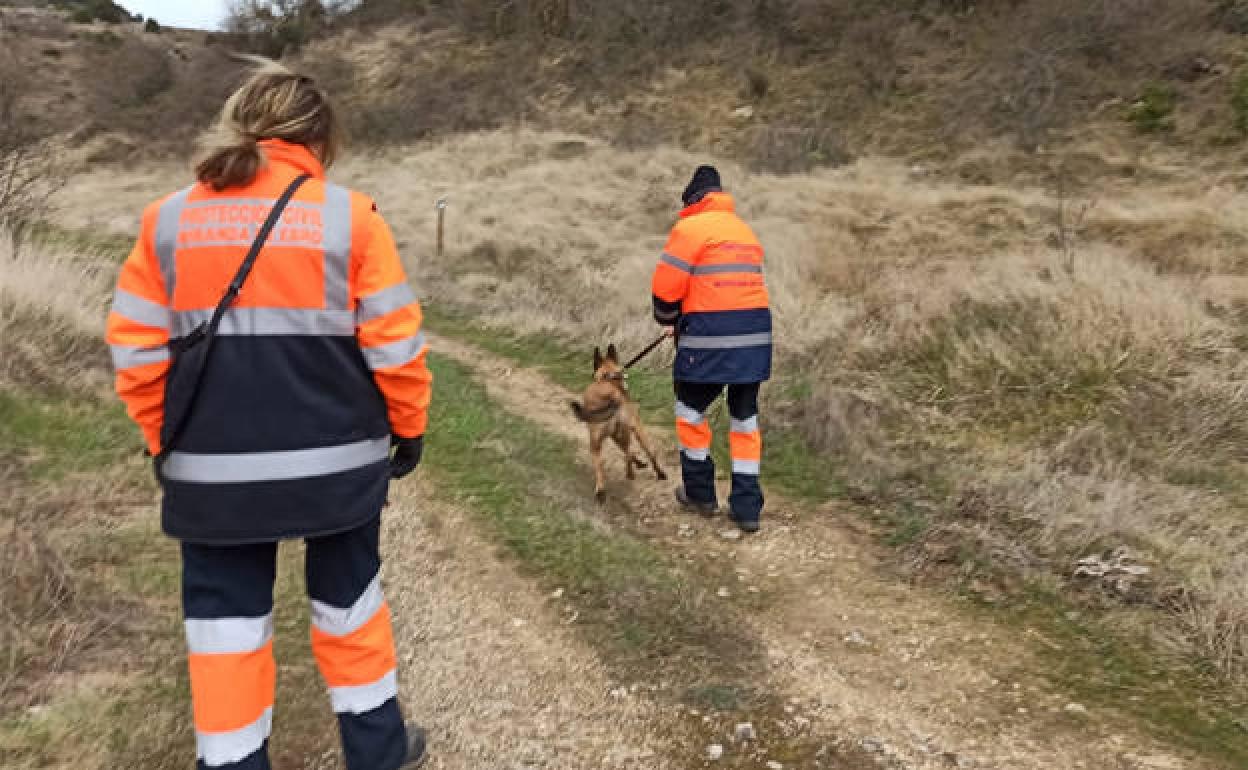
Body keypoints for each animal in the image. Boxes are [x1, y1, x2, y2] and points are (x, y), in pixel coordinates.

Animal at [571, 344, 668, 501]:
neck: (608, 378)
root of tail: (609, 395)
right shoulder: (633, 429)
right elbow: (637, 452)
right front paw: (641, 465)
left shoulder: (615, 435)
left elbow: (627, 451)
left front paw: (638, 463)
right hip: (628, 432)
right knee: (637, 452)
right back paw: (641, 473)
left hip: (596, 441)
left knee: (604, 464)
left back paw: (601, 490)